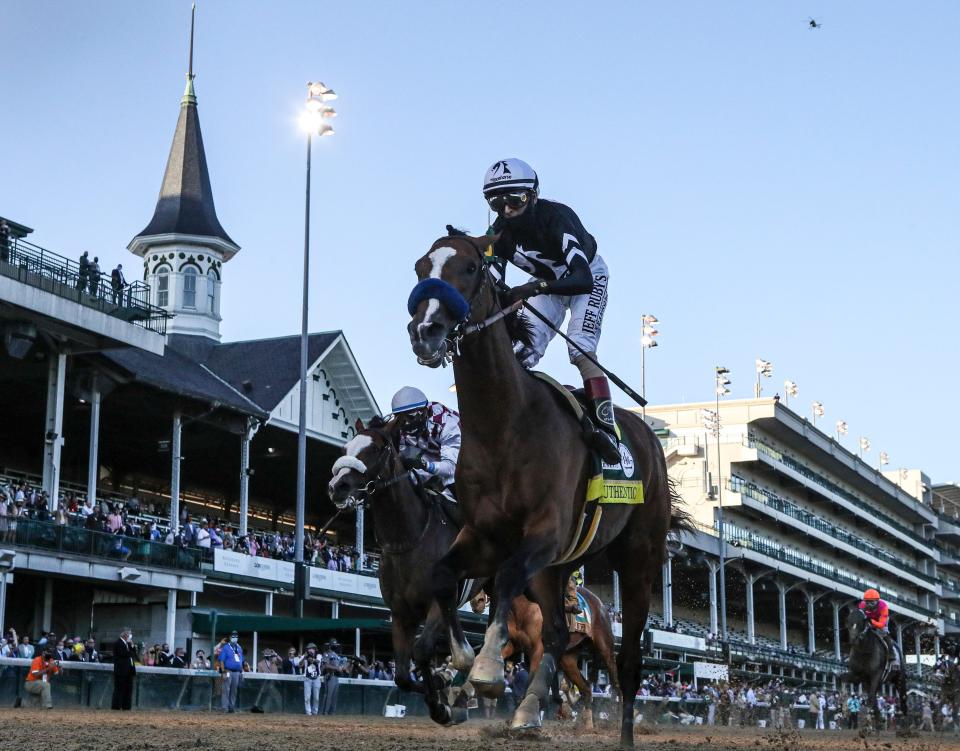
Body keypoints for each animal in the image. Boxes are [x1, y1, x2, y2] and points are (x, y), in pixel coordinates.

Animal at [328, 418, 478, 724]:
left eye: (376, 448)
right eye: (345, 448)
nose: (338, 486)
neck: (409, 539)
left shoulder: (438, 602)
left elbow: (422, 650)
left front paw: (442, 698)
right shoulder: (400, 613)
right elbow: (402, 676)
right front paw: (441, 692)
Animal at [468, 584, 620, 732]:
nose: (476, 601)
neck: (525, 606)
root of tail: (600, 603)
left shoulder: (537, 649)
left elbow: (531, 681)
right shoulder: (512, 644)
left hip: (605, 645)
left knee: (614, 675)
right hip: (568, 658)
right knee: (586, 688)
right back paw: (588, 725)